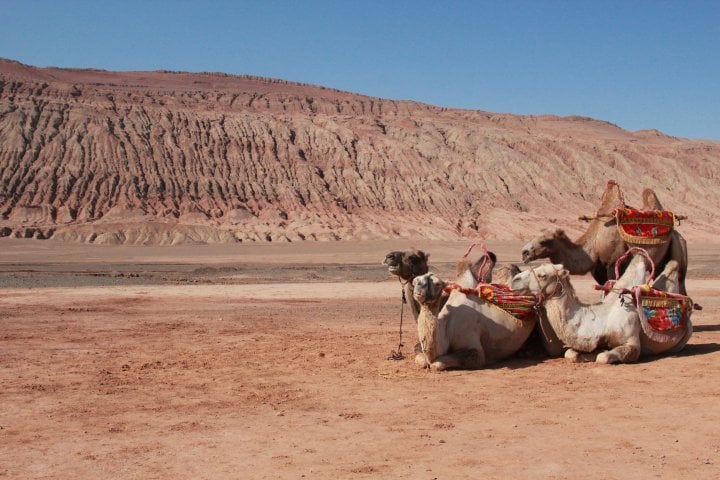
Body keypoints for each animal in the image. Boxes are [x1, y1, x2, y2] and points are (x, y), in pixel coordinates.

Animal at [510, 253, 696, 362]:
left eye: (542, 275)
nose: (514, 281)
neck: (601, 320)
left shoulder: (632, 343)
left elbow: (603, 357)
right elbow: (571, 354)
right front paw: (584, 356)